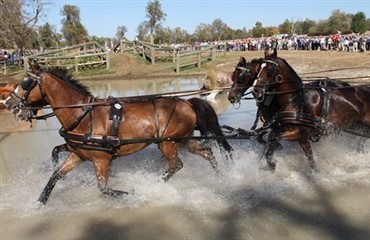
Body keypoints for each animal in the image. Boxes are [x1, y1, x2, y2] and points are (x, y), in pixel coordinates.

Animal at [4, 61, 233, 203]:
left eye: (25, 83)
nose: (8, 103)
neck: (83, 115)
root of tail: (186, 103)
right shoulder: (78, 154)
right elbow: (55, 175)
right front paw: (39, 202)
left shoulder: (101, 160)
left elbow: (104, 189)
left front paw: (134, 193)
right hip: (182, 141)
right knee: (206, 153)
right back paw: (221, 177)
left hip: (167, 143)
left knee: (177, 165)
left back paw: (154, 184)